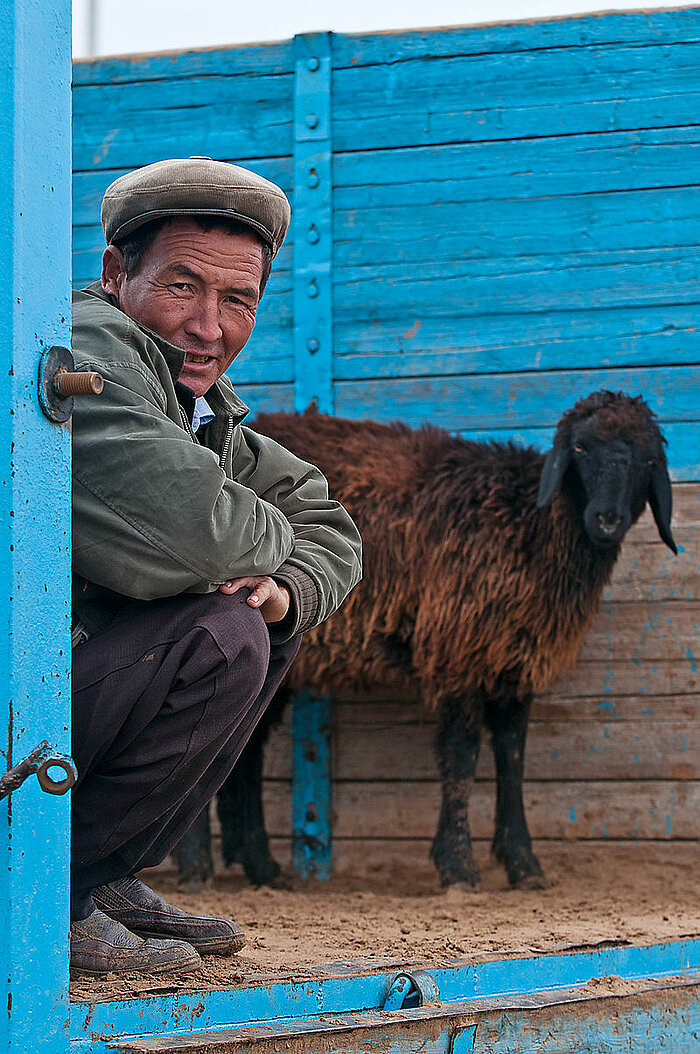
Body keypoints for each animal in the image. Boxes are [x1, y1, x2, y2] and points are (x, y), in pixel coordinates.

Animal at [173, 387, 674, 889]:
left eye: (649, 459)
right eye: (581, 449)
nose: (607, 520)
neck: (527, 522)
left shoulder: (514, 662)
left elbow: (512, 760)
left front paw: (523, 865)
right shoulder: (458, 653)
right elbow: (462, 756)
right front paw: (458, 867)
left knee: (244, 751)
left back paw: (260, 865)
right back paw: (197, 865)